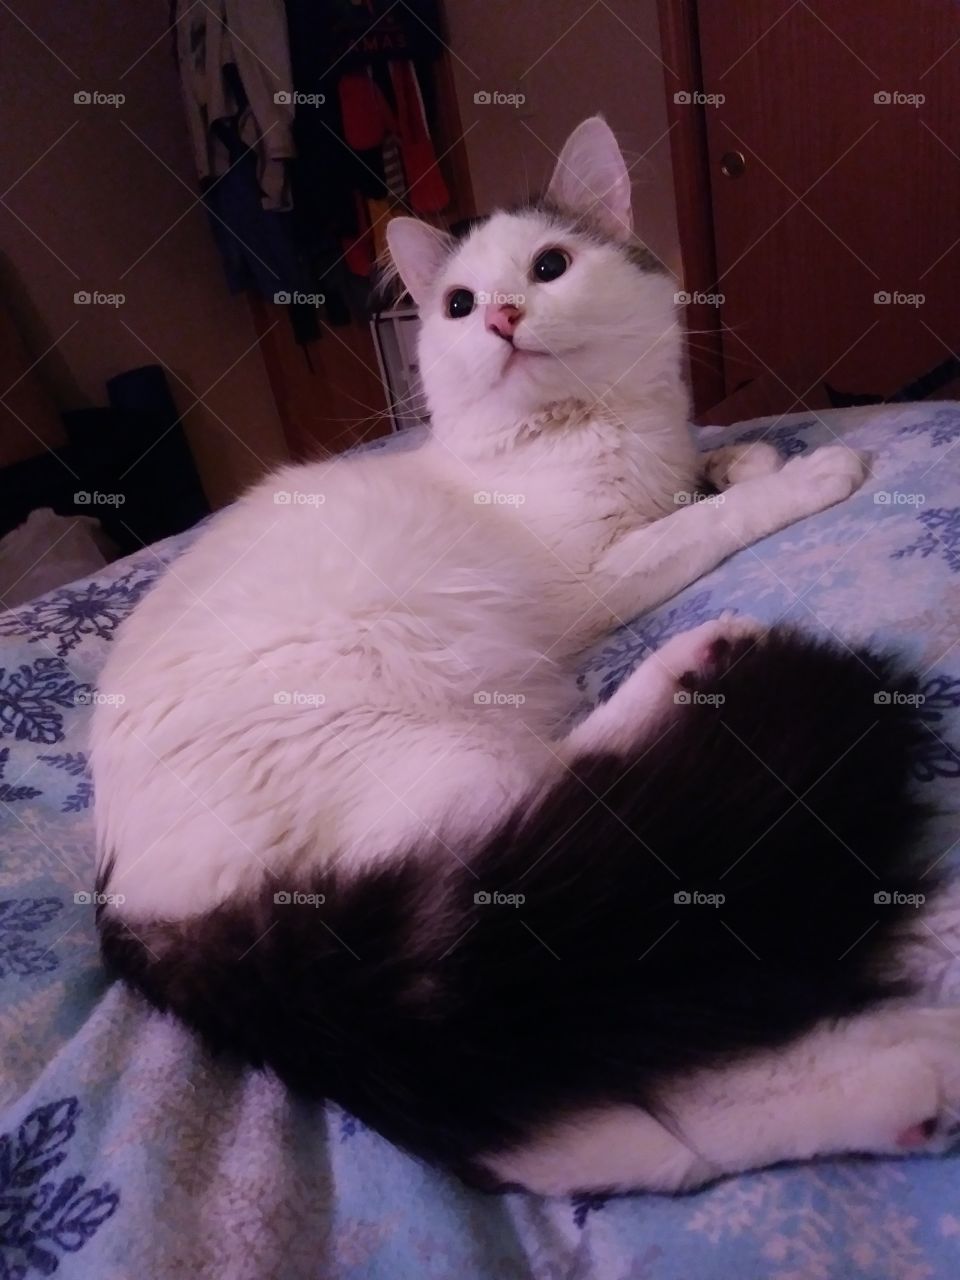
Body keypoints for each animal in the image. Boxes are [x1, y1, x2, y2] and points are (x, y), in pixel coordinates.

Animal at [92, 115, 960, 1192]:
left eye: (549, 267)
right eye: (460, 305)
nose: (502, 317)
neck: (582, 430)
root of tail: (134, 914)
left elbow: (711, 474)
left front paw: (740, 457)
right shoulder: (597, 576)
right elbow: (712, 521)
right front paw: (805, 474)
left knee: (591, 1133)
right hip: (452, 780)